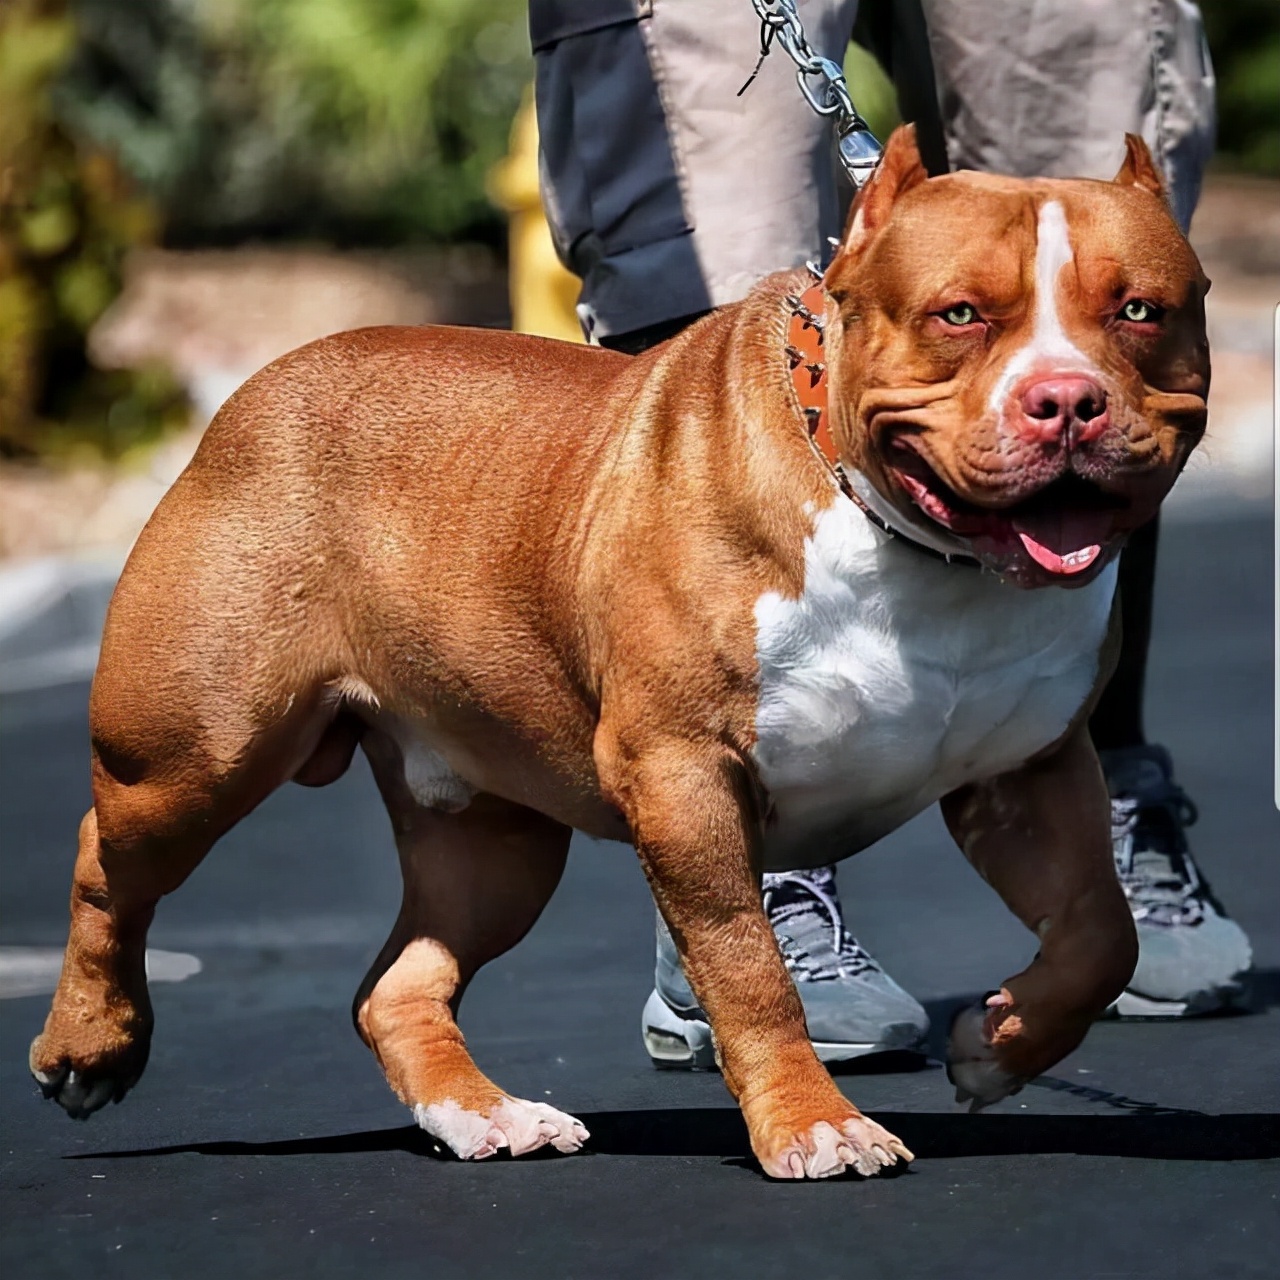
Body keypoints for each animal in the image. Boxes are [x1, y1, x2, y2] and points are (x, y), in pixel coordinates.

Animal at [30, 129, 1208, 1177]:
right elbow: (747, 964)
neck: (912, 541)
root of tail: (254, 393)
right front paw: (815, 1125)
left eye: (1138, 312)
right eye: (959, 315)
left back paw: (486, 1117)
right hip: (194, 754)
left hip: (489, 836)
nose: (1065, 400)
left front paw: (999, 1045)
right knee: (103, 854)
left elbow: (1100, 930)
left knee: (398, 981)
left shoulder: (1029, 771)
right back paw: (89, 1046)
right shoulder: (683, 772)